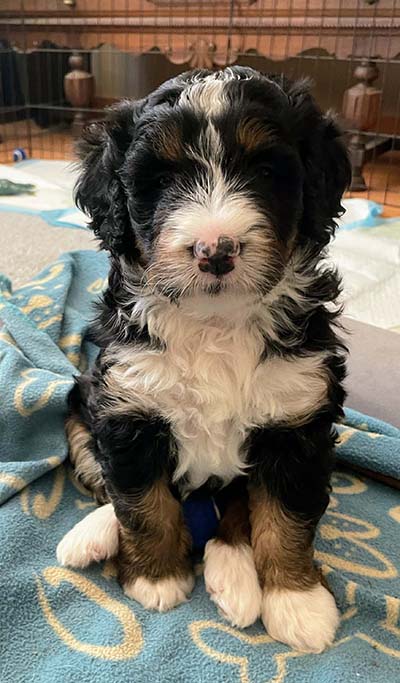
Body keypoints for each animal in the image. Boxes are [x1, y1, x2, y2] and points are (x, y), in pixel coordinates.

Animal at [56, 67, 350, 656]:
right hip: (84, 397)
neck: (216, 321)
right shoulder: (129, 409)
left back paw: (234, 578)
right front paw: (156, 578)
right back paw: (90, 537)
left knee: (234, 510)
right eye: (162, 180)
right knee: (101, 474)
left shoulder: (298, 421)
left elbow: (286, 517)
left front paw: (298, 602)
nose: (215, 249)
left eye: (265, 172)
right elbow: (142, 503)